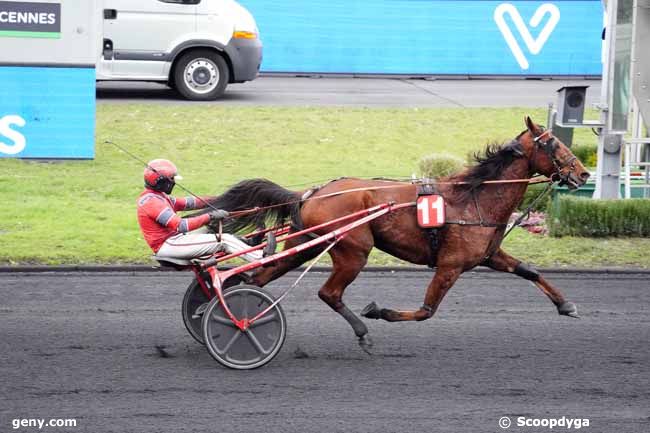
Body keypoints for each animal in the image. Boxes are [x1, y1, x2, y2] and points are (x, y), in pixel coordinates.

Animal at [208, 116, 588, 350]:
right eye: (554, 144)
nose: (583, 173)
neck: (474, 198)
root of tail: (312, 192)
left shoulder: (489, 254)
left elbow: (529, 271)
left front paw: (566, 305)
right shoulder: (450, 265)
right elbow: (426, 311)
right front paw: (379, 311)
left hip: (305, 244)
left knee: (258, 277)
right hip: (353, 250)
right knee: (328, 293)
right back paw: (361, 333)